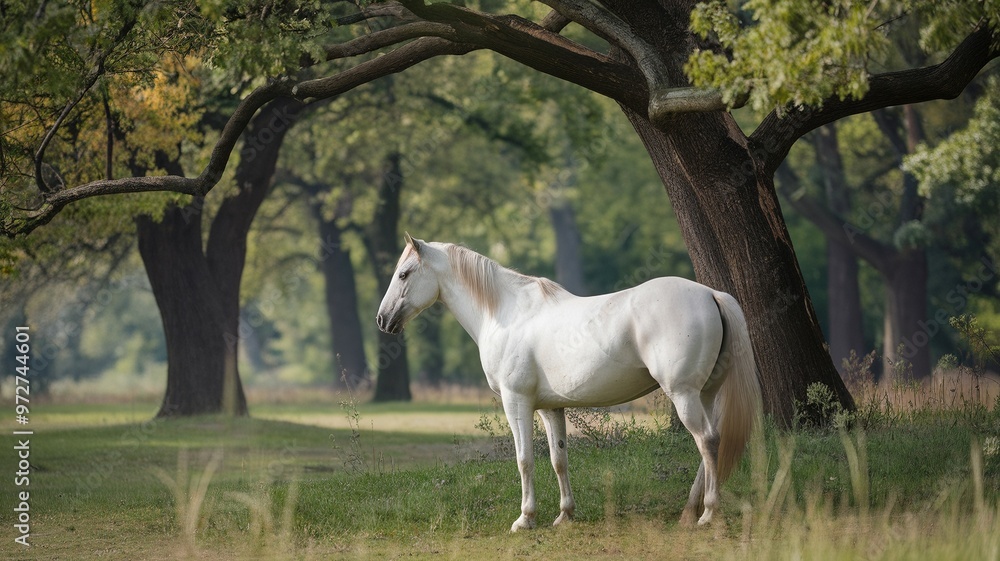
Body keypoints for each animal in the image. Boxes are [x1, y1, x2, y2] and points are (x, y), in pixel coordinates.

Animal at [376, 234, 763, 531]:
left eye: (404, 274)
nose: (382, 319)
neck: (505, 313)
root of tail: (710, 294)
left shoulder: (516, 402)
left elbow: (525, 460)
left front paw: (525, 519)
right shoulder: (551, 408)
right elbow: (558, 459)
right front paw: (565, 515)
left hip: (683, 394)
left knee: (707, 441)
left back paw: (708, 514)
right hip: (705, 394)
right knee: (709, 445)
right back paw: (688, 512)